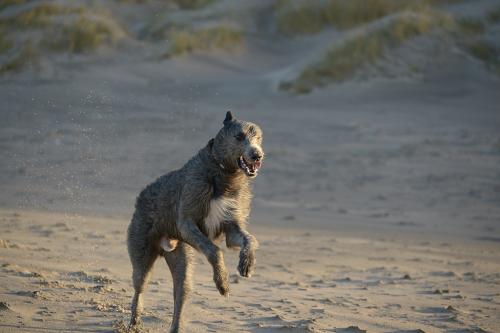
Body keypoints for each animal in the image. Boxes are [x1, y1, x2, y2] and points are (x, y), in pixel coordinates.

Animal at [127, 111, 264, 332]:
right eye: (239, 136)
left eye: (258, 137)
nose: (257, 155)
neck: (223, 173)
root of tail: (141, 197)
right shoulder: (187, 221)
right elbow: (214, 250)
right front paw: (223, 282)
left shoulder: (231, 223)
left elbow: (248, 239)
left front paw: (247, 264)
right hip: (141, 247)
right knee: (139, 286)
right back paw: (134, 321)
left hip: (180, 256)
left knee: (181, 290)